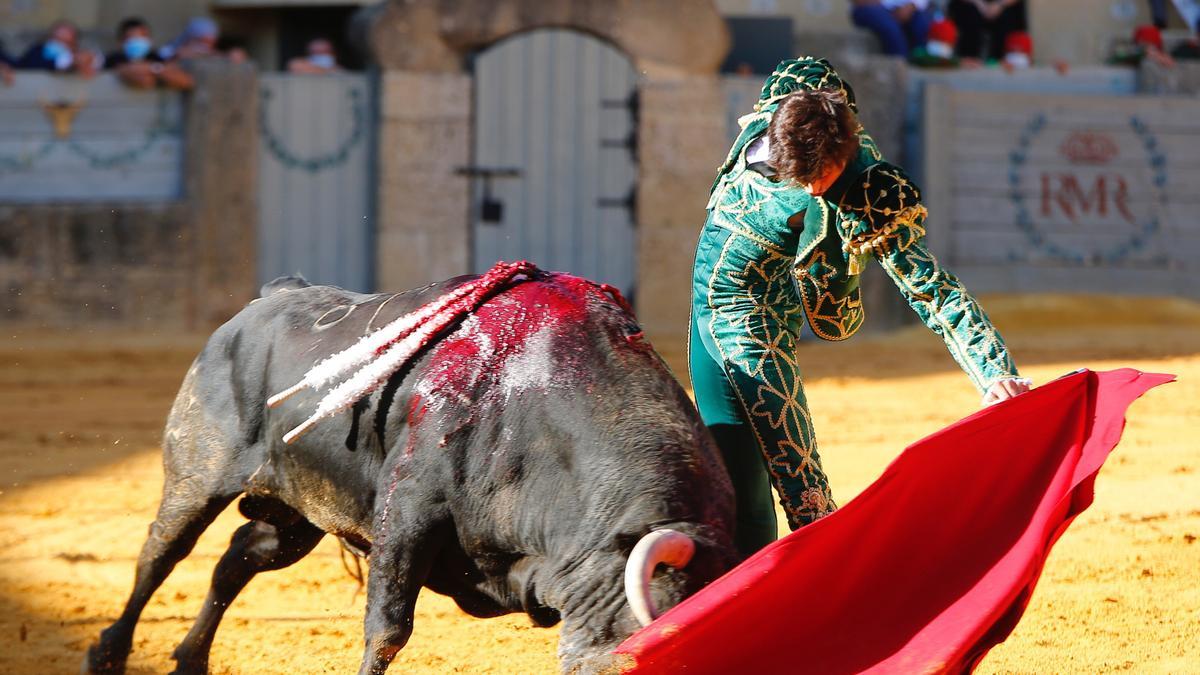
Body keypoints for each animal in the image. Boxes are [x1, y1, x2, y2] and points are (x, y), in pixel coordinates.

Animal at [84, 269, 734, 672]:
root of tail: (270, 296)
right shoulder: (408, 512)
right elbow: (388, 627)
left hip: (297, 517)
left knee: (239, 557)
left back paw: (190, 661)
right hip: (197, 475)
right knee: (161, 553)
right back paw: (109, 653)